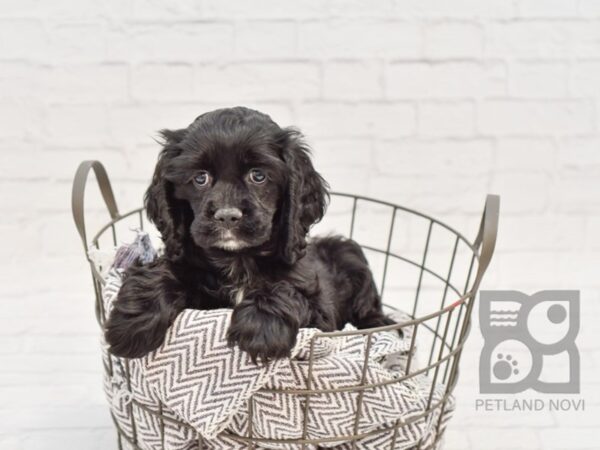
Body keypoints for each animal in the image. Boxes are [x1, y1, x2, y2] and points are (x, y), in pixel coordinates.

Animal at [105, 106, 396, 362]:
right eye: (200, 178)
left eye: (258, 175)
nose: (227, 216)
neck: (237, 260)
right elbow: (163, 270)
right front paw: (133, 322)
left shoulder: (320, 316)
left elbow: (285, 288)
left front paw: (261, 330)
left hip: (349, 253)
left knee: (368, 306)